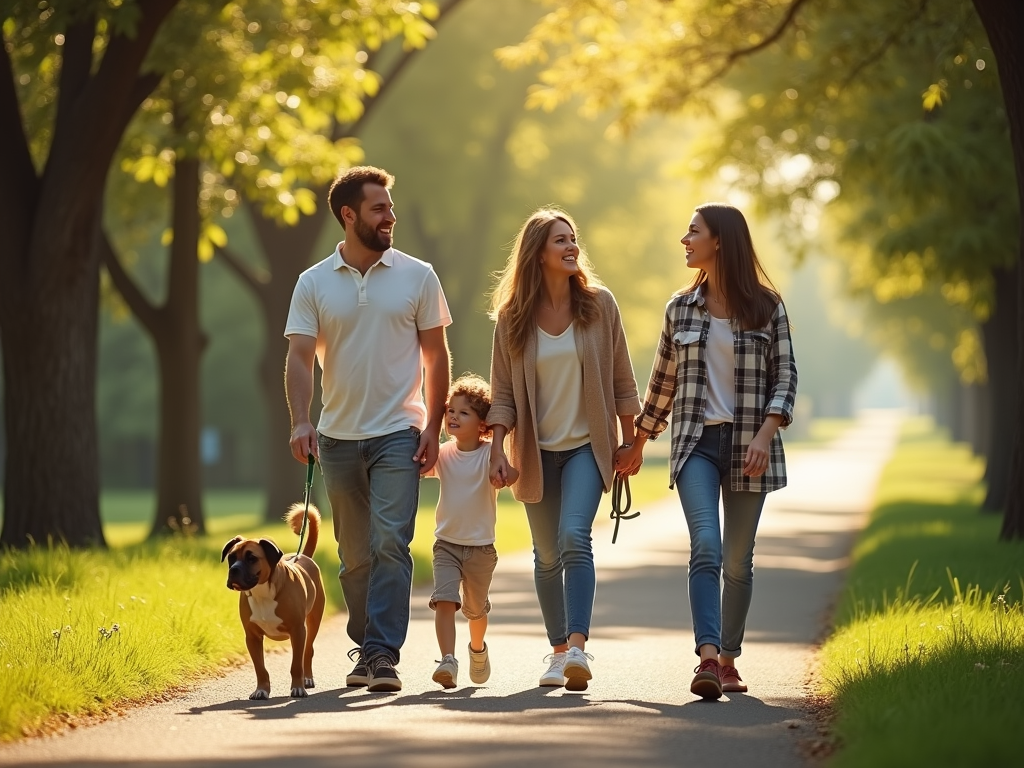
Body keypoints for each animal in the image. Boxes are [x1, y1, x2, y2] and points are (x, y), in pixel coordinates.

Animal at [220, 505, 323, 704]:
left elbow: (296, 664)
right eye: (231, 557)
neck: (262, 593)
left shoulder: (298, 632)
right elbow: (260, 668)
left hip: (313, 623)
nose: (233, 570)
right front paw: (261, 690)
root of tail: (302, 555)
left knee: (308, 651)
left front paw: (297, 687)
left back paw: (307, 679)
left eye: (251, 558)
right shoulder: (252, 637)